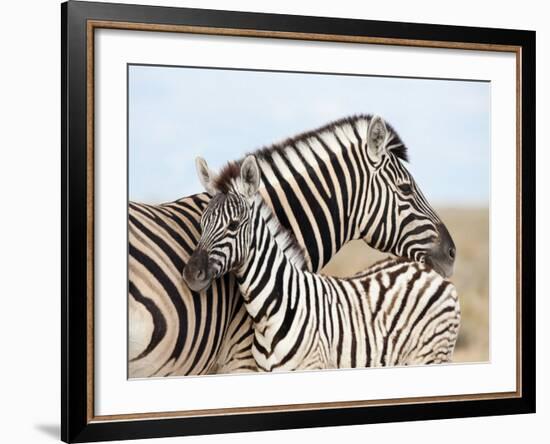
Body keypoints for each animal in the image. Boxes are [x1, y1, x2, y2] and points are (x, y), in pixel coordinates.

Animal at [184, 156, 462, 372]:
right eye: (201, 224)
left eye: (233, 225)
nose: (190, 273)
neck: (274, 309)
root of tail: (432, 273)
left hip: (431, 356)